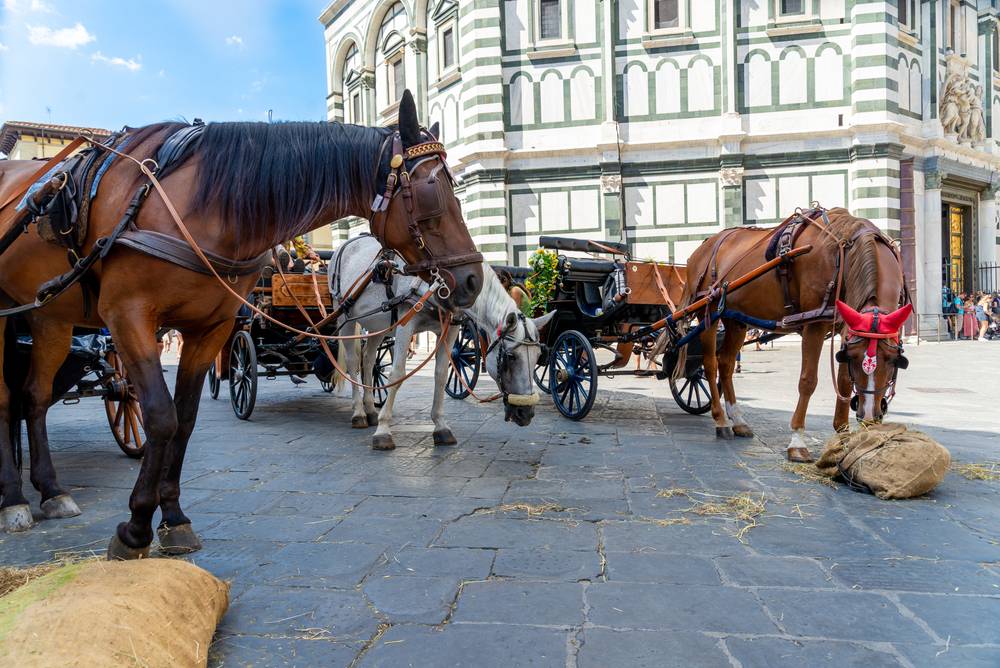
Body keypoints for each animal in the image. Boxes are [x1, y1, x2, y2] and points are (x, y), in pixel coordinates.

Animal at [0, 90, 484, 560]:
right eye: (432, 191)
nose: (473, 279)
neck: (197, 203)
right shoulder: (129, 317)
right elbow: (160, 416)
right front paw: (135, 528)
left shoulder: (209, 327)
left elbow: (185, 419)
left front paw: (173, 518)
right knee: (9, 402)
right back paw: (14, 500)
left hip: (48, 316)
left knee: (34, 398)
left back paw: (50, 492)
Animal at [330, 234, 556, 448]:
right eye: (510, 357)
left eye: (539, 356)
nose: (526, 414)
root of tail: (345, 245)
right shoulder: (406, 322)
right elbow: (397, 374)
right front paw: (383, 430)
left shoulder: (450, 328)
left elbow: (441, 374)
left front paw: (440, 426)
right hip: (345, 317)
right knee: (352, 363)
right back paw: (359, 413)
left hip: (378, 325)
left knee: (368, 360)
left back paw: (370, 409)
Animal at [684, 206, 912, 462]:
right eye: (853, 358)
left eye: (893, 360)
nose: (870, 416)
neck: (842, 257)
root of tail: (704, 246)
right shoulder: (815, 323)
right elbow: (808, 380)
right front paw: (797, 442)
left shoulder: (846, 326)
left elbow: (844, 381)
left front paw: (843, 437)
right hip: (708, 312)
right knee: (710, 364)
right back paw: (721, 419)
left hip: (735, 319)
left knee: (726, 364)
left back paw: (738, 420)